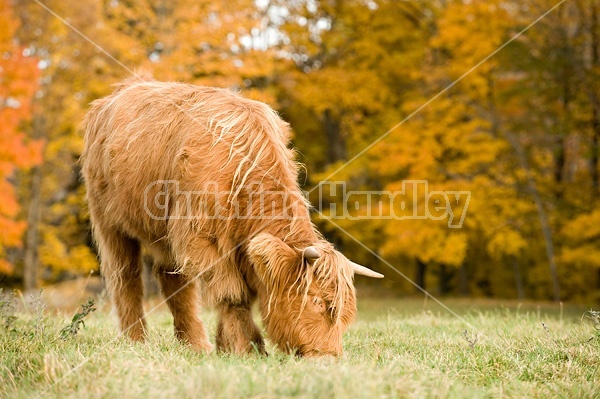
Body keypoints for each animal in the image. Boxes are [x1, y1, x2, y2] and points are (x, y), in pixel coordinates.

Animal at [81, 76, 384, 360]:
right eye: (318, 301)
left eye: (345, 313)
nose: (327, 356)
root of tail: (117, 93)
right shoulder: (202, 241)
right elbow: (233, 295)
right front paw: (246, 348)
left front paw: (226, 346)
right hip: (110, 225)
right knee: (126, 277)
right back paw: (136, 339)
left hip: (164, 234)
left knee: (174, 282)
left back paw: (194, 344)